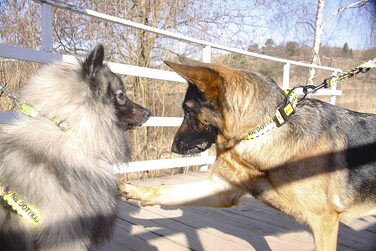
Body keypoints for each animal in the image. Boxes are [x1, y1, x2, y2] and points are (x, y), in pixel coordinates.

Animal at [121, 57, 376, 250]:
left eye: (186, 110)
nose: (173, 148)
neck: (263, 128)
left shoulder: (324, 222)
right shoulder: (222, 190)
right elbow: (167, 190)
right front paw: (130, 190)